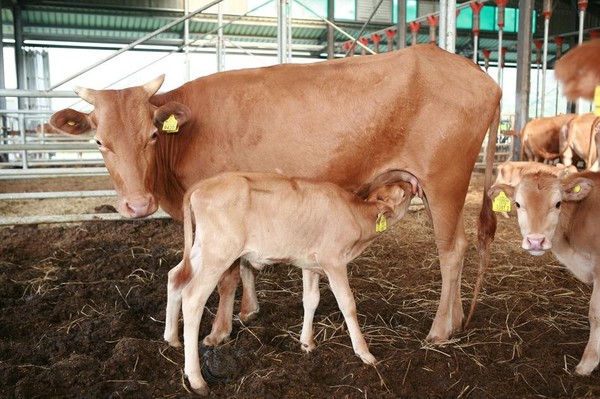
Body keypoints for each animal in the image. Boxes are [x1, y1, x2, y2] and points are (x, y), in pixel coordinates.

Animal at [165, 170, 418, 396]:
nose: (413, 185)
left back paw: (172, 339)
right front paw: (365, 354)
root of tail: (202, 185)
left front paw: (307, 343)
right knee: (193, 297)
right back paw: (197, 380)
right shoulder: (333, 260)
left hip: (202, 248)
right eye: (402, 192)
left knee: (175, 277)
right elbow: (347, 304)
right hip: (219, 252)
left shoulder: (310, 264)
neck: (355, 215)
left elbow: (311, 300)